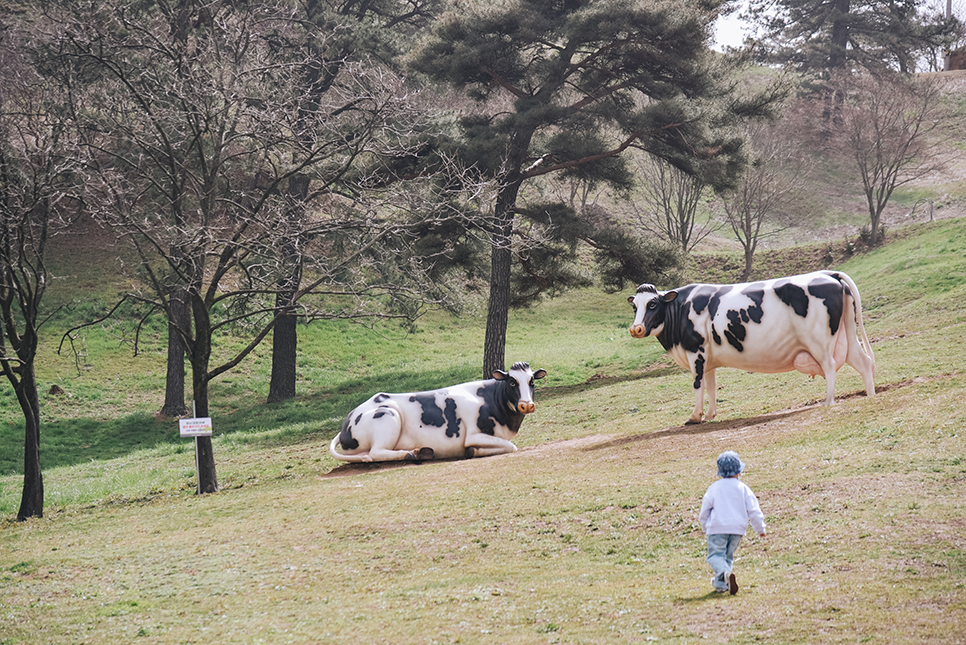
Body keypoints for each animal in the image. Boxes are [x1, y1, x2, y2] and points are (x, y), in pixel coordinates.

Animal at [328, 360, 548, 460]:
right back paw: (411, 454)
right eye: (511, 382)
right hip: (388, 416)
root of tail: (346, 422)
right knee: (375, 453)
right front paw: (473, 451)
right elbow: (511, 446)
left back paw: (422, 451)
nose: (526, 404)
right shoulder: (474, 435)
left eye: (532, 381)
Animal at [628, 270, 876, 422]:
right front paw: (709, 415)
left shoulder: (695, 352)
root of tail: (828, 274)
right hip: (847, 334)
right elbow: (711, 386)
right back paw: (870, 395)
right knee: (863, 362)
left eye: (652, 304)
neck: (681, 308)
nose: (636, 329)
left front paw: (694, 416)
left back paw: (828, 401)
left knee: (830, 365)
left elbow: (698, 385)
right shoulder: (708, 359)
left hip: (820, 341)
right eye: (635, 307)